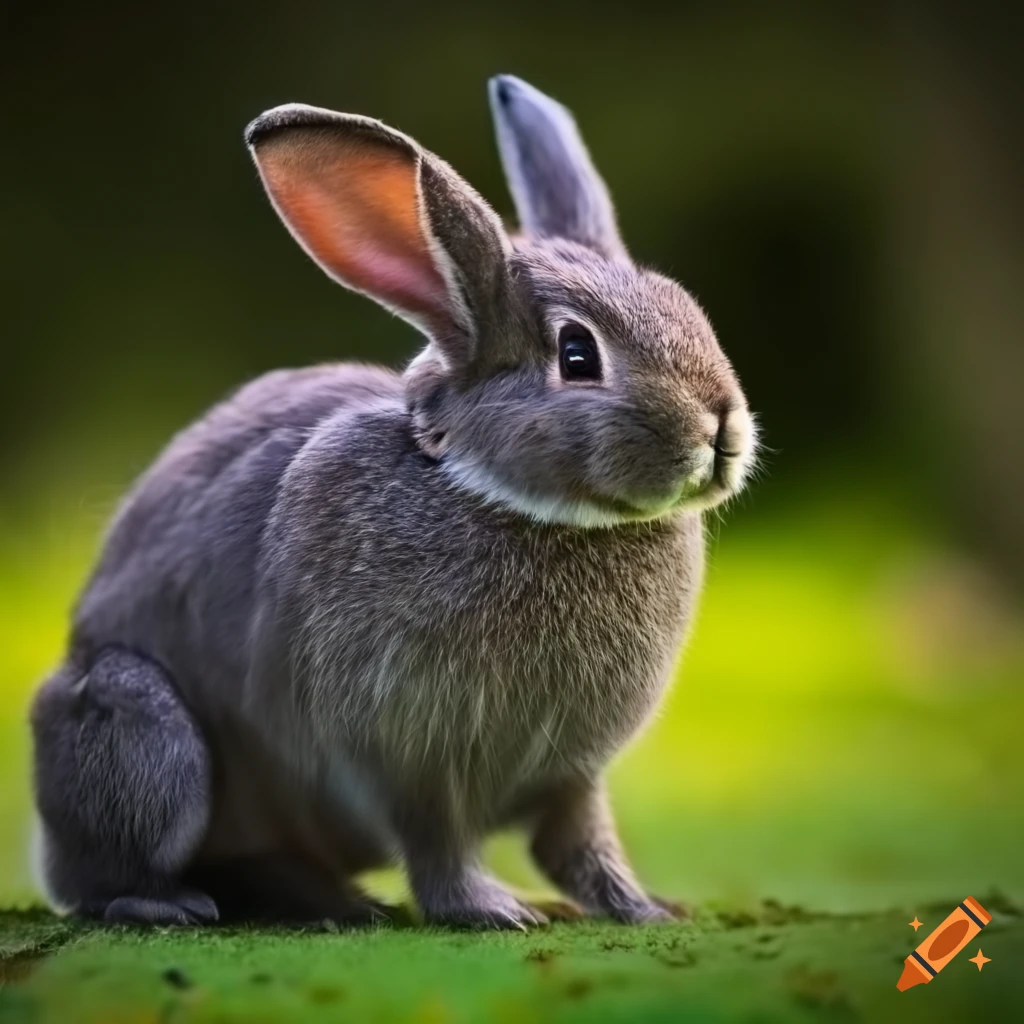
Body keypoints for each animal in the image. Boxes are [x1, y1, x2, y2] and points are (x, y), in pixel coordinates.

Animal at [30, 74, 758, 930]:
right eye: (578, 355)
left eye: (683, 305)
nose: (722, 428)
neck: (507, 495)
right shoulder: (409, 762)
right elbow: (438, 846)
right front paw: (495, 911)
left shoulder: (572, 777)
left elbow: (582, 845)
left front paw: (644, 909)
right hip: (147, 735)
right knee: (112, 873)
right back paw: (170, 904)